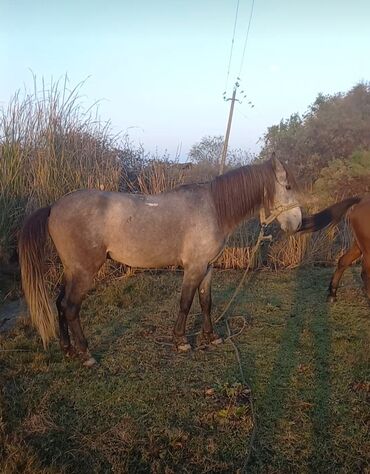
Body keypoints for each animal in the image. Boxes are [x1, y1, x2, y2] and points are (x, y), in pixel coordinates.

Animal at [18, 156, 300, 366]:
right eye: (288, 187)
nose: (297, 224)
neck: (213, 208)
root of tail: (54, 207)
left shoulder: (207, 267)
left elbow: (206, 302)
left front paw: (211, 337)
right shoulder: (194, 268)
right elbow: (186, 303)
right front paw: (181, 341)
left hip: (71, 270)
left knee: (59, 304)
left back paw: (68, 349)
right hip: (84, 271)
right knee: (71, 307)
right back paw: (85, 354)